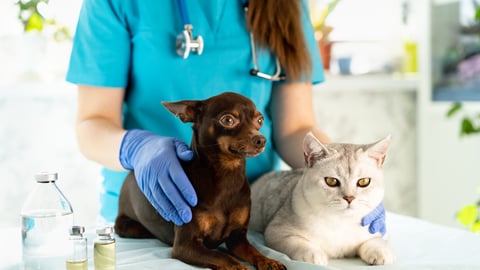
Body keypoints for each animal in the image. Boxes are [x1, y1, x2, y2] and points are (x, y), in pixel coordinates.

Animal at [113, 92, 284, 268]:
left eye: (260, 120)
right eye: (228, 120)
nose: (261, 140)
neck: (228, 174)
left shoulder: (237, 239)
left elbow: (254, 252)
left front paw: (268, 261)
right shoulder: (185, 246)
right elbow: (221, 256)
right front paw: (237, 266)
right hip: (127, 227)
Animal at [249, 132, 396, 266]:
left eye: (364, 182)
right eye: (331, 181)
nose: (349, 198)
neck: (341, 222)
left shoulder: (376, 230)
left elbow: (377, 241)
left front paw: (381, 252)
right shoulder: (276, 231)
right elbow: (297, 243)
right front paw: (314, 255)